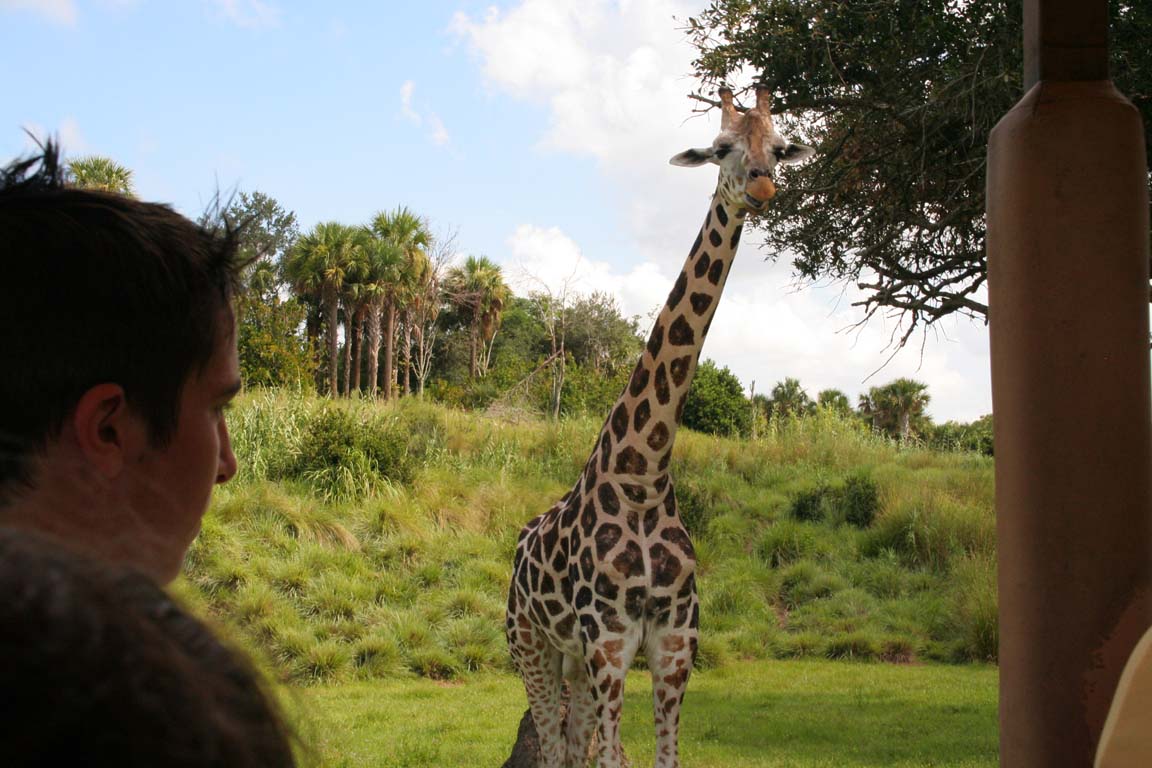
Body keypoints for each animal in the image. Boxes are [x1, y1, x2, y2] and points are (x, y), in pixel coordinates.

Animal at [506, 86, 820, 764]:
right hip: (530, 645)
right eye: (722, 148)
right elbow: (615, 756)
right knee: (552, 744)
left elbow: (662, 756)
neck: (644, 478)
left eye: (780, 145)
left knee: (571, 744)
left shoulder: (675, 647)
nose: (763, 185)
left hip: (570, 658)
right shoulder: (610, 645)